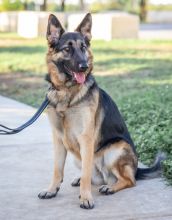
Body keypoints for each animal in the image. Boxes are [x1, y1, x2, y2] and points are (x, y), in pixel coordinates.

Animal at [38, 13, 165, 210]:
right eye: (67, 49)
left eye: (83, 47)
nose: (84, 66)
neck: (67, 92)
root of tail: (136, 168)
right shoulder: (58, 139)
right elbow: (57, 169)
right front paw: (52, 190)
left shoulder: (86, 139)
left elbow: (85, 176)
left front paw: (86, 198)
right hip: (79, 158)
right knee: (93, 176)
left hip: (115, 150)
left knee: (129, 180)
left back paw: (110, 187)